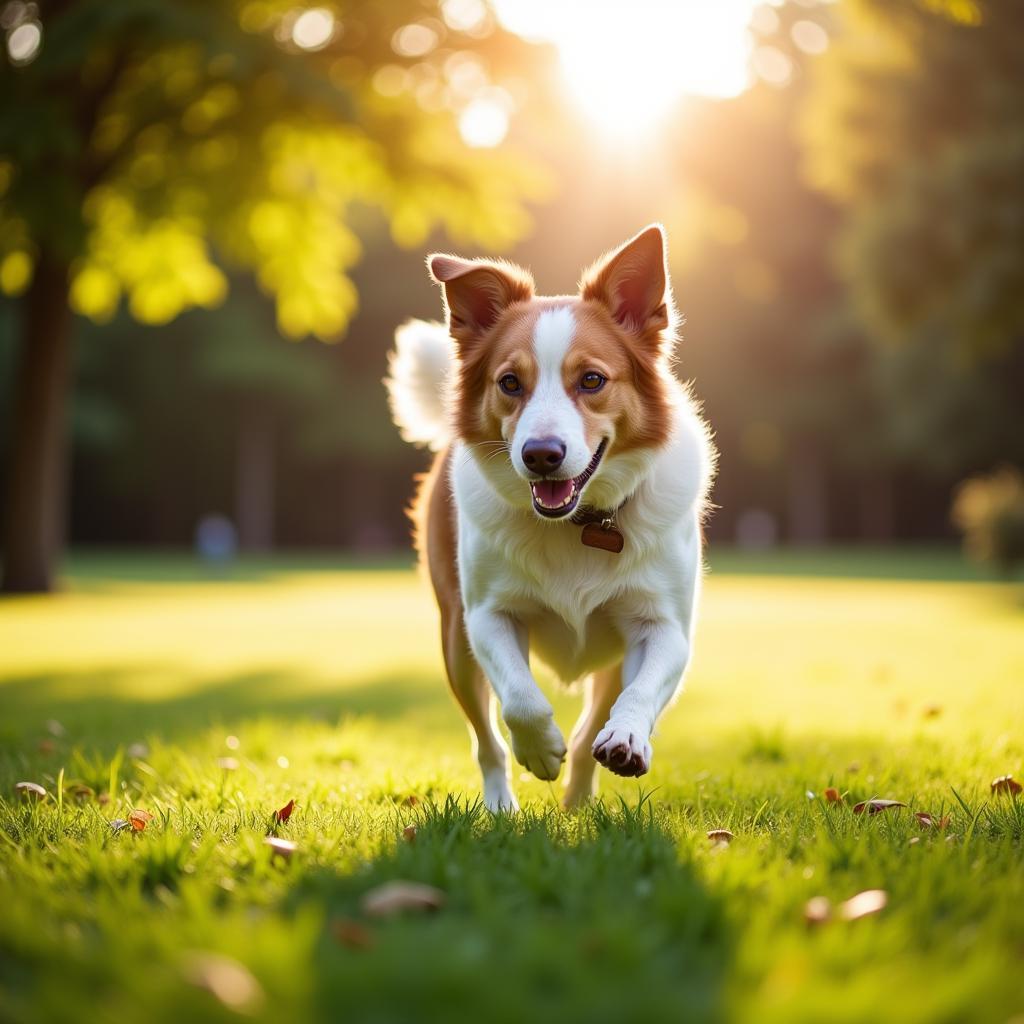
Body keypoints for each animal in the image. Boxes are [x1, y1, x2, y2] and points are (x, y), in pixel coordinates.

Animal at [387, 224, 716, 806]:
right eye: (509, 383)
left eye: (591, 380)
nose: (541, 454)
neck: (576, 525)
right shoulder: (485, 618)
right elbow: (521, 700)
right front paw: (540, 751)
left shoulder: (664, 626)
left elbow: (635, 694)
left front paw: (626, 738)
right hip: (455, 643)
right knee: (487, 740)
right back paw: (501, 805)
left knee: (589, 729)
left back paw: (582, 800)